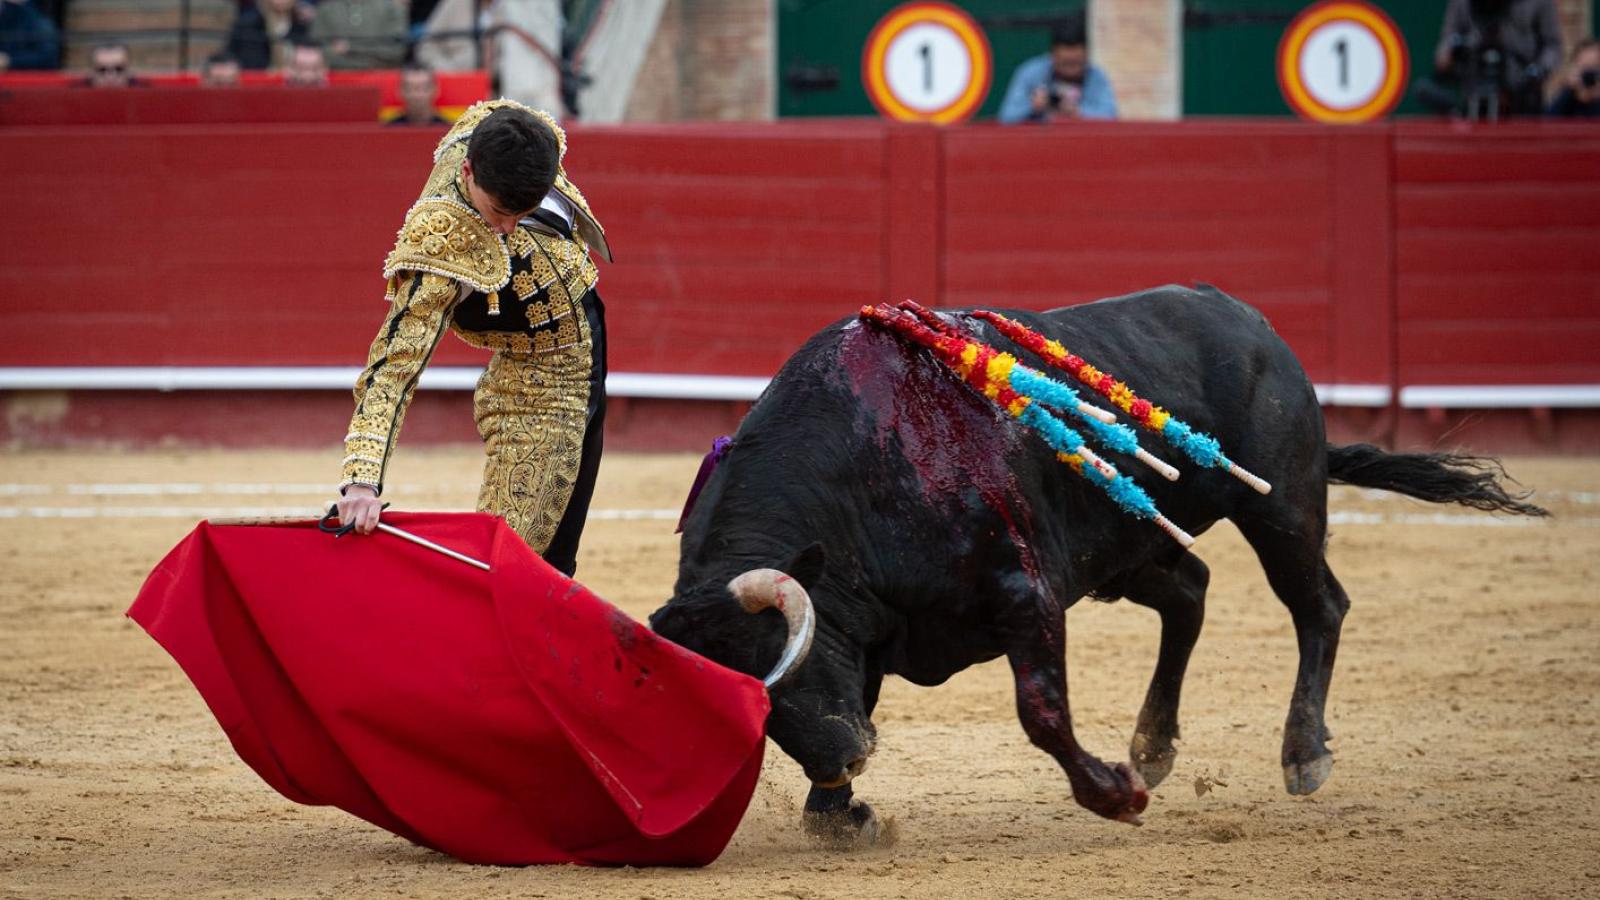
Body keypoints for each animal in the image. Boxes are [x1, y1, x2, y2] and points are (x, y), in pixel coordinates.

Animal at [643, 283, 1542, 839]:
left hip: (1281, 507)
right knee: (1191, 594)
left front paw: (1114, 794)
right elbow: (866, 691)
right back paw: (1154, 743)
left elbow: (1040, 711)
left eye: (781, 668)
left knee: (1317, 605)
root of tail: (1254, 322)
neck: (862, 465)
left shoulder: (1025, 592)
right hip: (1127, 552)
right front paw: (840, 817)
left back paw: (1301, 753)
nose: (845, 758)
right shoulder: (869, 623)